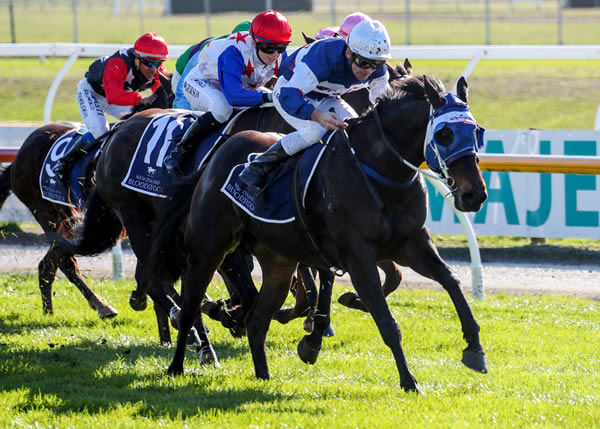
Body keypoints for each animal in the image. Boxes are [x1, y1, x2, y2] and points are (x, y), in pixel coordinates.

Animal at [0, 74, 173, 324]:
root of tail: (16, 159)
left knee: (49, 264)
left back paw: (49, 310)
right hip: (49, 213)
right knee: (65, 262)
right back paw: (101, 305)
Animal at [149, 75, 488, 392]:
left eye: (476, 132)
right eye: (444, 134)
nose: (474, 195)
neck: (378, 170)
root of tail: (214, 157)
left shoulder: (411, 244)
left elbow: (451, 281)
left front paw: (474, 348)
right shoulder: (359, 257)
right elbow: (386, 321)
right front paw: (409, 381)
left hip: (279, 263)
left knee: (257, 320)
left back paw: (262, 375)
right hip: (208, 250)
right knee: (190, 308)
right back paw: (179, 365)